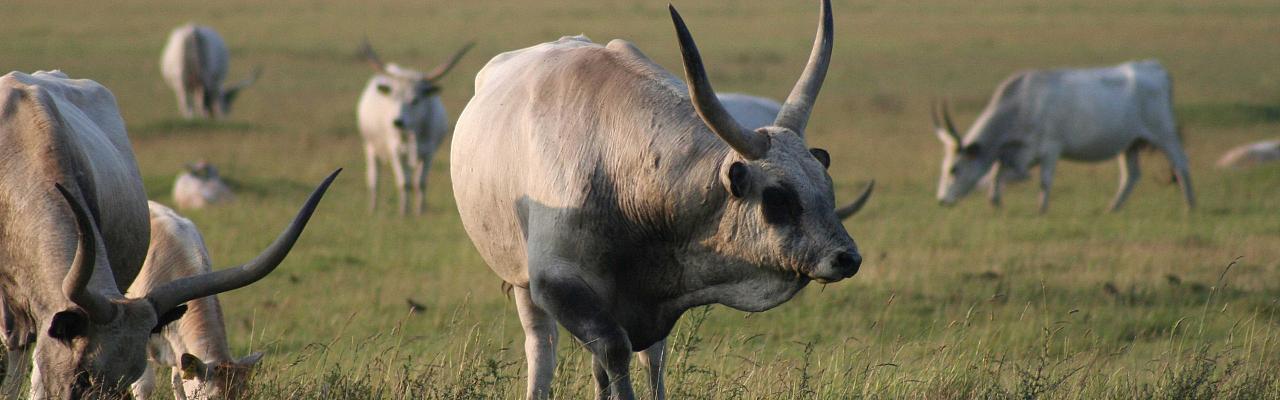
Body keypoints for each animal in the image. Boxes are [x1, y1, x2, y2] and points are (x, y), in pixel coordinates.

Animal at [358, 39, 473, 215]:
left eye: (415, 100)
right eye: (393, 97)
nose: (397, 122)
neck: (413, 131)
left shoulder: (429, 152)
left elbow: (421, 182)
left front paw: (420, 211)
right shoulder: (395, 151)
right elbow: (403, 183)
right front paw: (403, 211)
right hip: (370, 146)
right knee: (373, 178)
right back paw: (373, 207)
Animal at [936, 58, 1192, 212]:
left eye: (954, 169)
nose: (941, 200)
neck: (1021, 104)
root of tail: (1156, 68)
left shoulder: (1051, 149)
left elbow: (1043, 180)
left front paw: (1041, 209)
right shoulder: (1021, 154)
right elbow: (1001, 172)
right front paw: (995, 200)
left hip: (1164, 134)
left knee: (1180, 164)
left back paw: (1191, 206)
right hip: (1129, 144)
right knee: (1131, 175)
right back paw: (1112, 208)